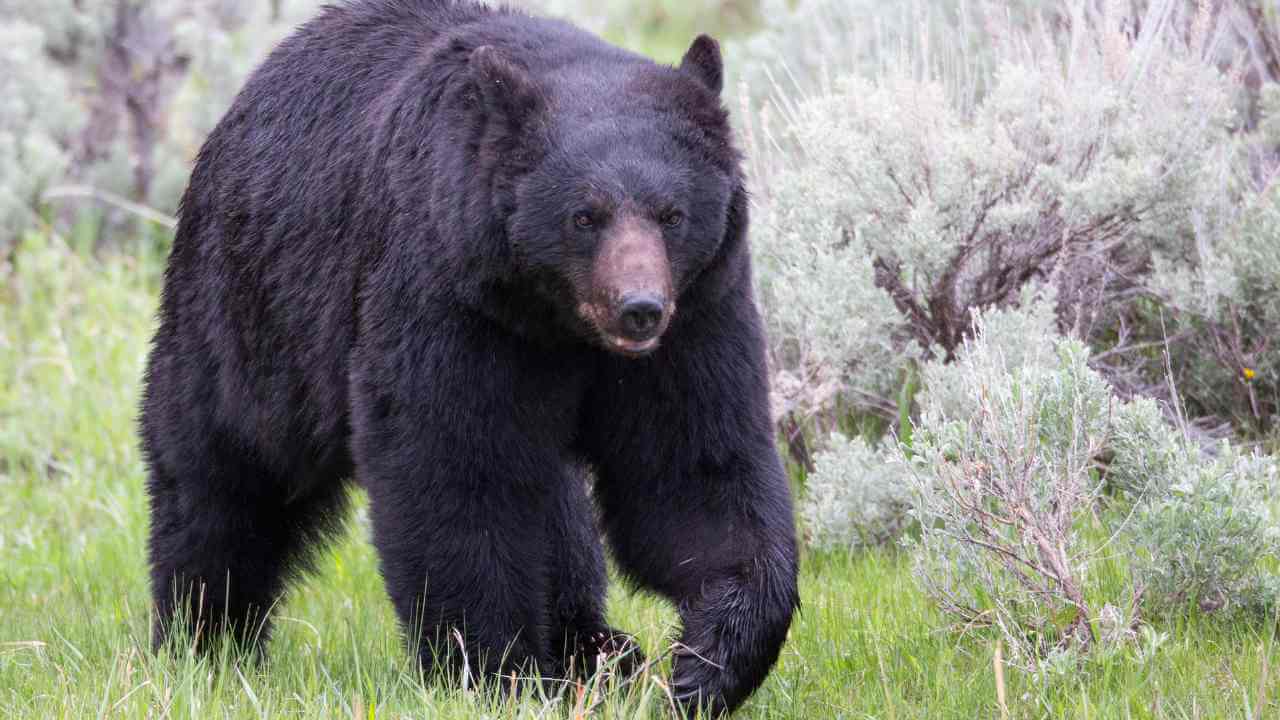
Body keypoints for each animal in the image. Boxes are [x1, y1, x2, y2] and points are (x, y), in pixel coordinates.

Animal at [142, 0, 798, 712]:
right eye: (584, 216)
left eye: (672, 214)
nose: (640, 308)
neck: (555, 323)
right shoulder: (449, 297)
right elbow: (455, 469)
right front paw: (495, 670)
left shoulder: (698, 316)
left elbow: (691, 468)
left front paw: (706, 665)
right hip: (251, 312)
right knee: (221, 472)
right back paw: (205, 640)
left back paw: (598, 649)